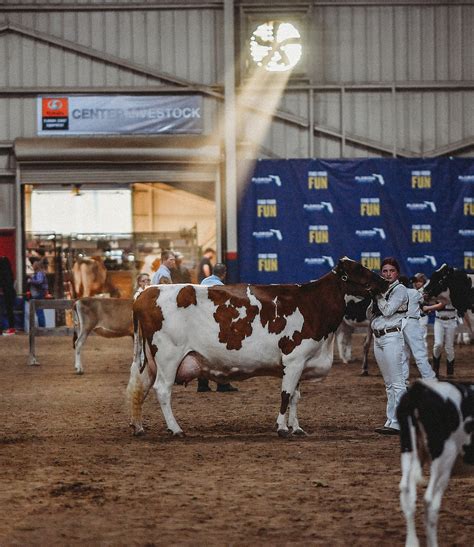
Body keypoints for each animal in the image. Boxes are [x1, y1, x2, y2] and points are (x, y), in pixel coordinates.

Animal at [127, 256, 388, 436]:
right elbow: (285, 394)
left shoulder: (301, 361)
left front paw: (296, 428)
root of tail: (145, 293)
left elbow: (295, 396)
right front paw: (282, 428)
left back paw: (138, 427)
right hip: (168, 357)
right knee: (162, 390)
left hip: (149, 362)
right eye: (359, 269)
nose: (384, 281)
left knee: (139, 388)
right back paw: (176, 429)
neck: (314, 306)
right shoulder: (294, 358)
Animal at [396, 382, 474, 547]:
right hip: (444, 457)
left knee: (406, 493)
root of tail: (420, 390)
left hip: (409, 450)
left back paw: (412, 542)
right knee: (430, 501)